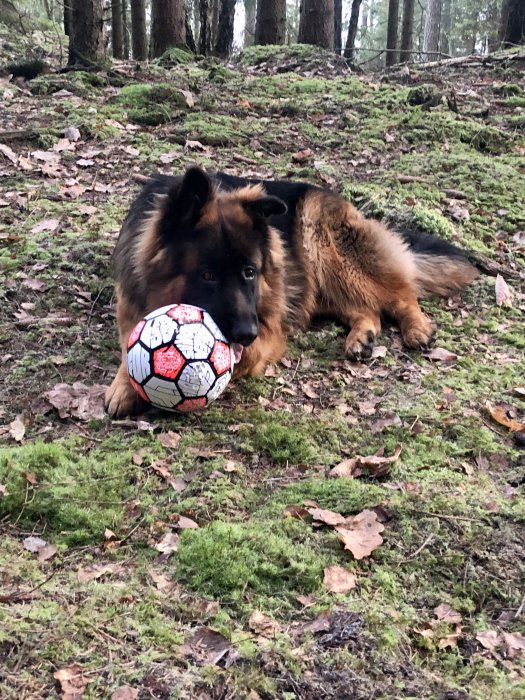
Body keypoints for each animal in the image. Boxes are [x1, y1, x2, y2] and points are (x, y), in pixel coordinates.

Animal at [104, 167, 476, 416]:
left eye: (250, 272)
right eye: (207, 275)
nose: (247, 332)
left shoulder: (268, 322)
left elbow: (246, 357)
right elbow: (129, 345)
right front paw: (124, 385)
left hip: (324, 245)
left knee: (399, 294)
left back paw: (417, 328)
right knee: (366, 309)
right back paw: (362, 337)